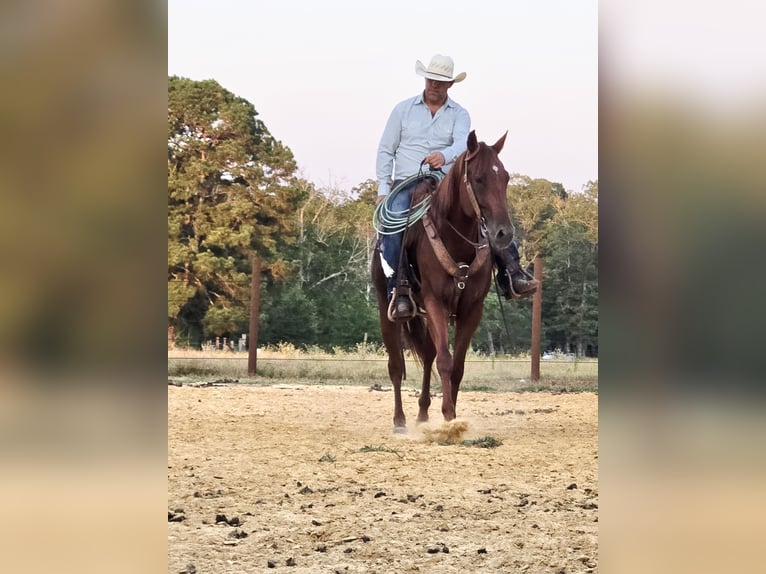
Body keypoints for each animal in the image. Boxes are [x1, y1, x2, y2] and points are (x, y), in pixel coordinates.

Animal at [371, 130, 514, 431]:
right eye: (479, 178)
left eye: (505, 177)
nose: (503, 233)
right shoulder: (435, 302)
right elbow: (446, 362)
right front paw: (448, 416)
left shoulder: (472, 309)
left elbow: (456, 366)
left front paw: (453, 416)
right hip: (385, 306)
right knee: (396, 365)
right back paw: (399, 420)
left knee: (427, 355)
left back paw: (423, 413)